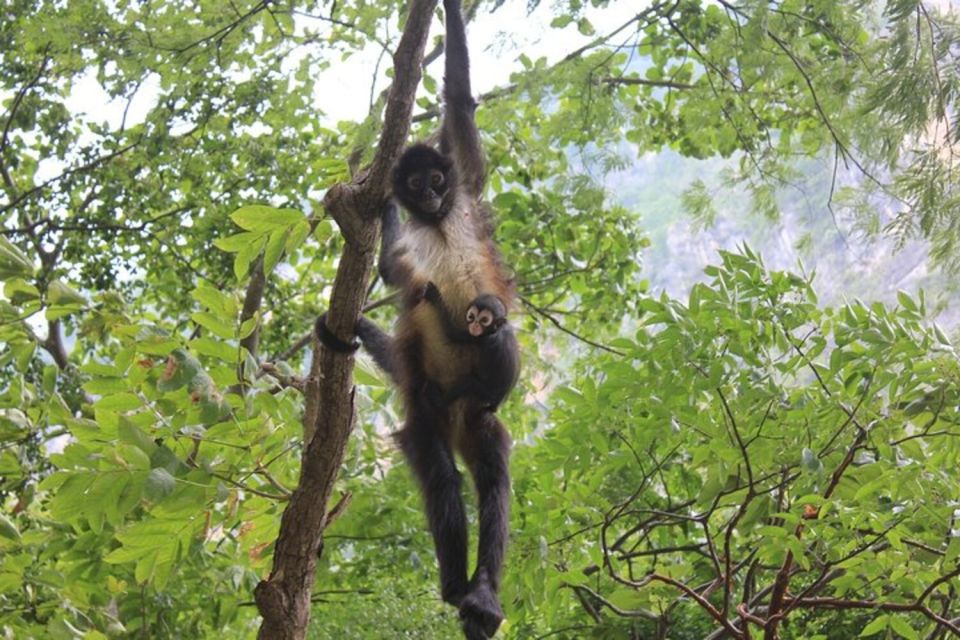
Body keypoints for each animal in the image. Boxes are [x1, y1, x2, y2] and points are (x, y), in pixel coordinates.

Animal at [316, 2, 512, 636]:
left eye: (437, 179)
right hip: (427, 410)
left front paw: (447, 13)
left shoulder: (467, 186)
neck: (437, 222)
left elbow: (460, 103)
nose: (426, 194)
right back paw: (455, 587)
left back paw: (482, 594)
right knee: (445, 478)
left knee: (492, 475)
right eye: (417, 182)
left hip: (473, 414)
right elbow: (394, 271)